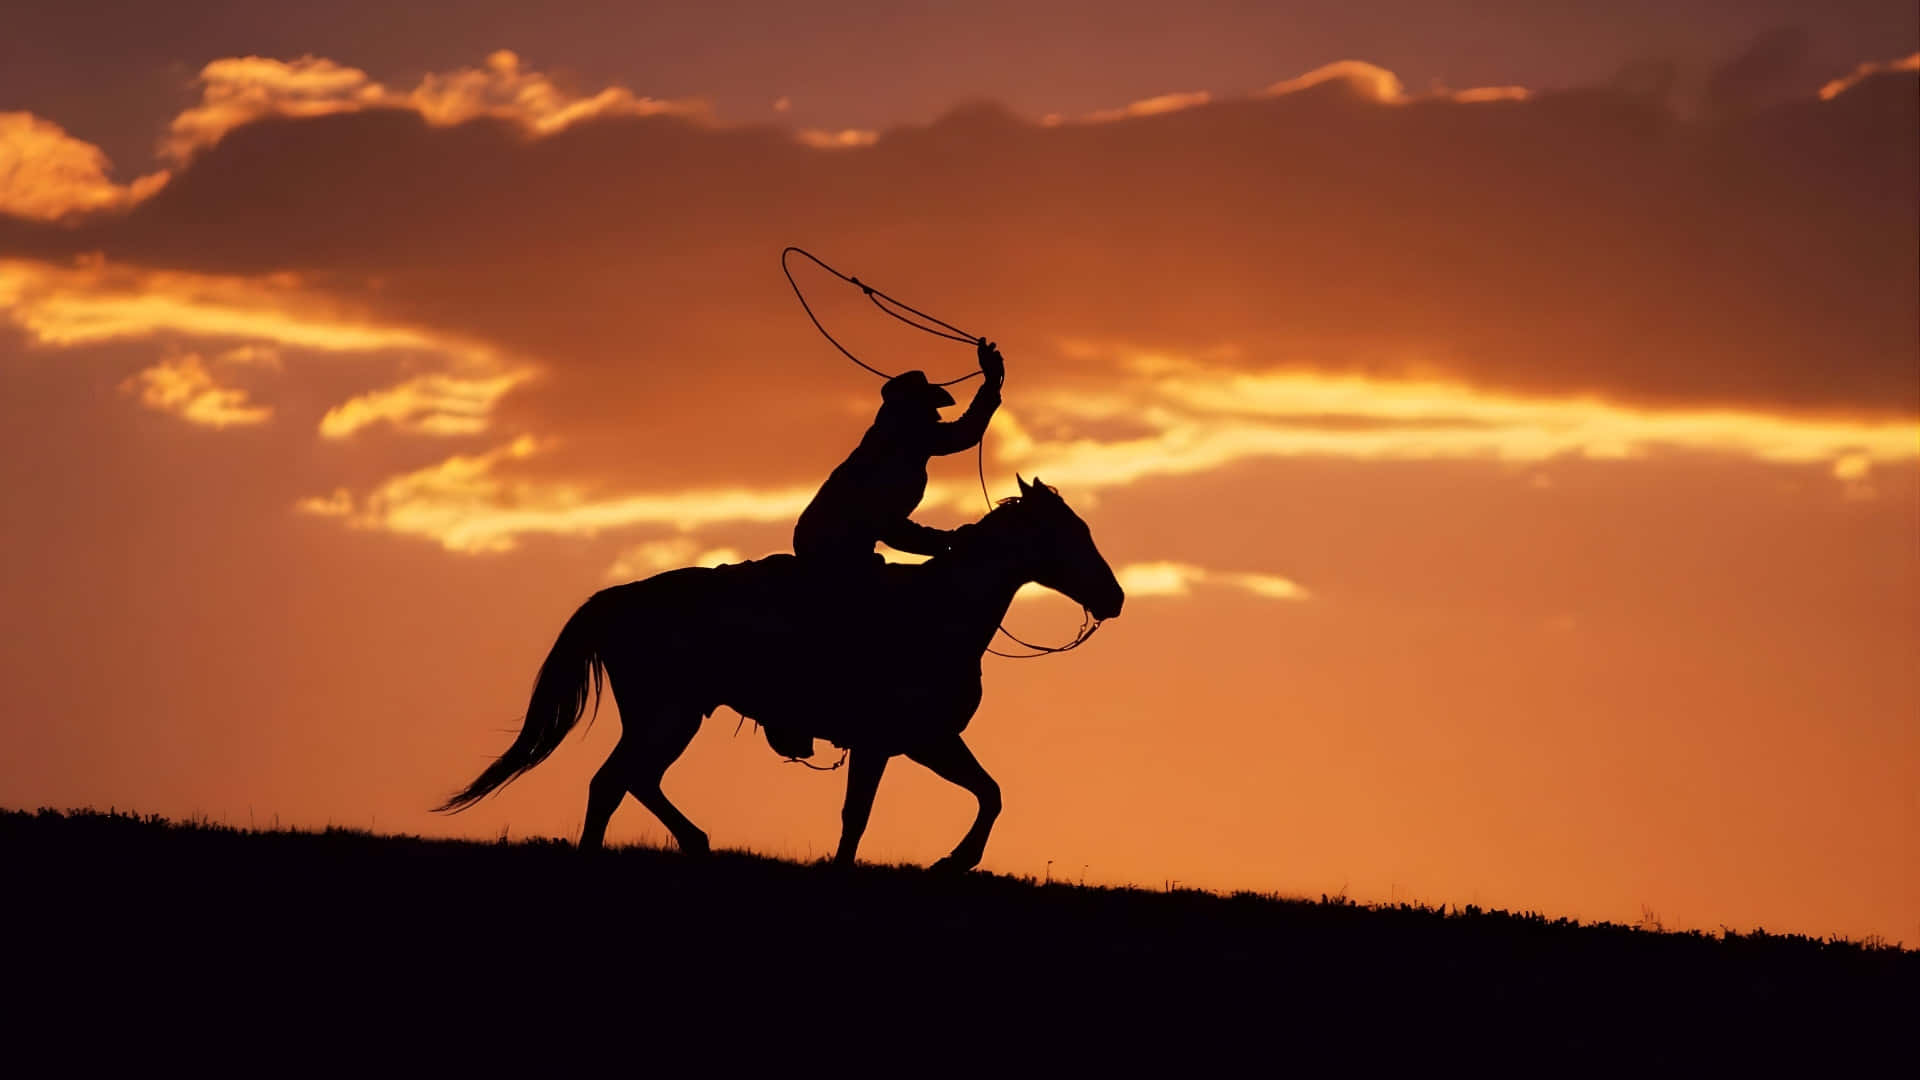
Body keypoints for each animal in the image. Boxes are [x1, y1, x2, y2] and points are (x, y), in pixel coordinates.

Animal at [436, 475, 1125, 873]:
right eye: (1070, 534)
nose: (1115, 598)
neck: (939, 613)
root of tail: (620, 597)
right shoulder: (891, 742)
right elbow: (861, 816)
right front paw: (935, 863)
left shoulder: (927, 741)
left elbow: (989, 792)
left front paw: (953, 861)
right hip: (667, 714)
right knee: (613, 782)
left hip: (670, 717)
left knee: (634, 780)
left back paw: (695, 842)